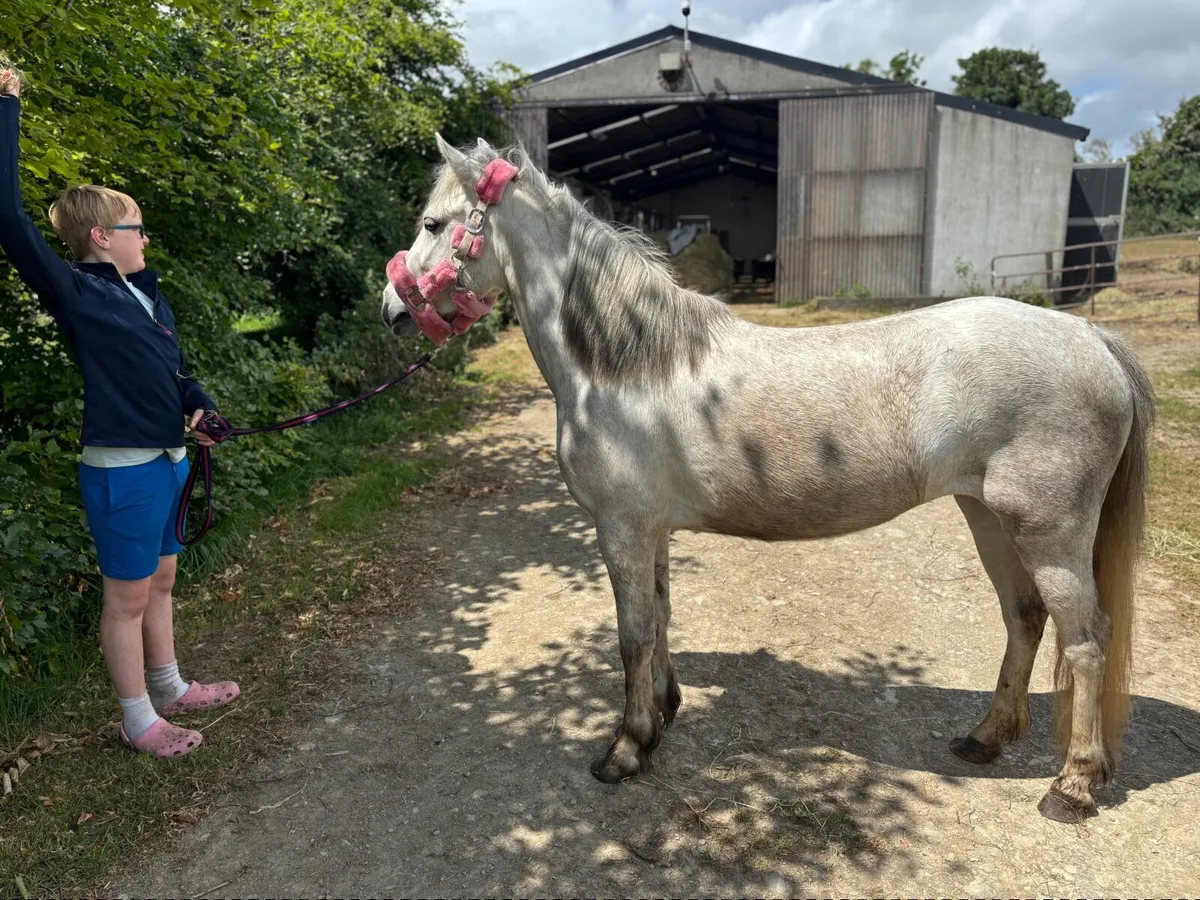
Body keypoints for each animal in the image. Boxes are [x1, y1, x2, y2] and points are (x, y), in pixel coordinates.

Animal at [380, 134, 1156, 823]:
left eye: (434, 223)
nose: (390, 311)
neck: (625, 364)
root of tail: (1091, 337)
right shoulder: (649, 530)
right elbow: (660, 618)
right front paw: (663, 715)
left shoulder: (621, 527)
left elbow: (632, 634)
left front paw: (625, 751)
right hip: (987, 514)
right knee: (1023, 618)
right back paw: (986, 740)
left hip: (1049, 531)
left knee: (1087, 640)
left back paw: (1071, 787)